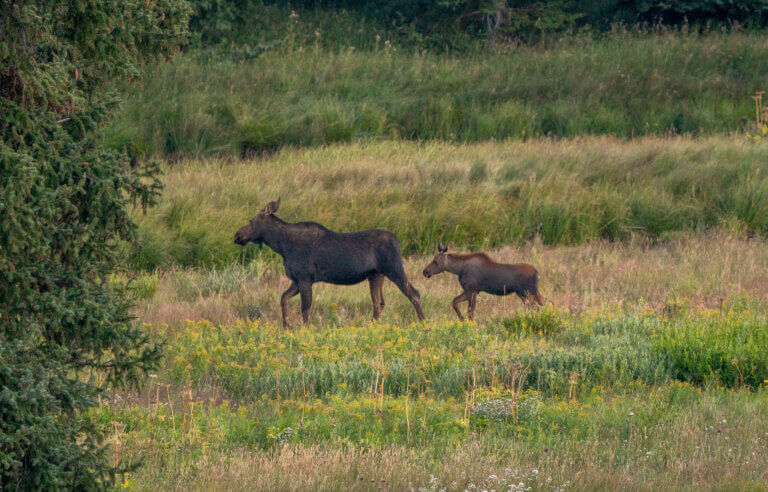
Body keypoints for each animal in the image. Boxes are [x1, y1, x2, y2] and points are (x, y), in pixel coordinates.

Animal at [234, 200, 426, 326]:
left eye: (251, 220)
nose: (237, 235)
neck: (281, 246)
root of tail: (398, 241)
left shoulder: (305, 278)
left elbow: (305, 309)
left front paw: (305, 330)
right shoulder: (296, 280)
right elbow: (283, 298)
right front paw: (286, 325)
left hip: (394, 268)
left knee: (414, 293)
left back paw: (423, 323)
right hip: (376, 276)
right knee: (379, 304)